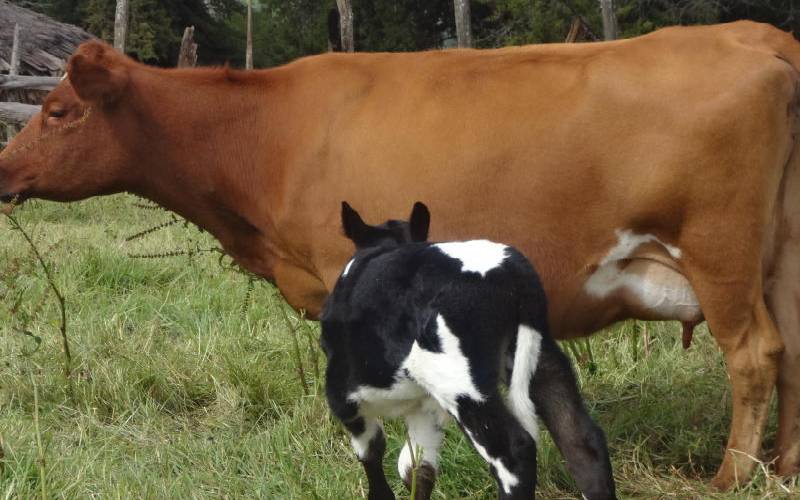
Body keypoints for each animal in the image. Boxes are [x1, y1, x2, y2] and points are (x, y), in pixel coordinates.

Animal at [0, 21, 798, 490]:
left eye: (59, 111)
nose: (3, 168)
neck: (269, 132)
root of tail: (754, 35)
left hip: (720, 255)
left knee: (756, 355)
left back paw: (731, 479)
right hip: (783, 262)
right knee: (792, 352)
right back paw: (785, 464)